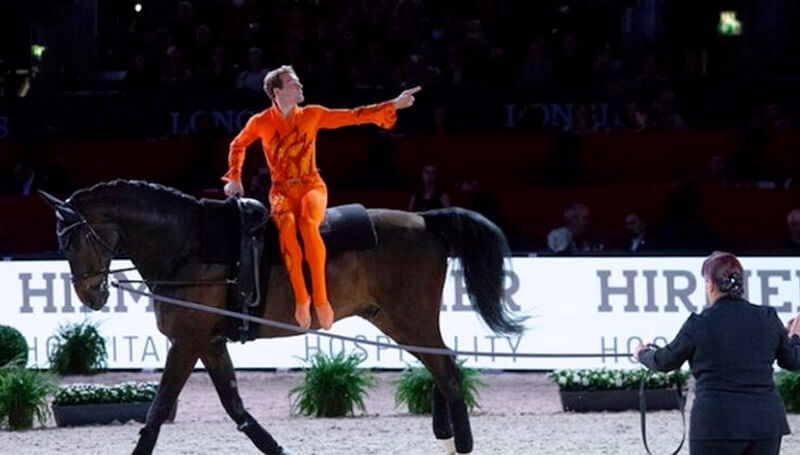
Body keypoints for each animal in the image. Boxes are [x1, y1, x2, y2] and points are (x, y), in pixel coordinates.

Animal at [40, 180, 524, 455]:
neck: (189, 245)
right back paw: (446, 434)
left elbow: (158, 410)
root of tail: (424, 220)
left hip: (408, 317)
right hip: (394, 320)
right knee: (439, 367)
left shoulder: (186, 343)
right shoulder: (209, 344)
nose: (92, 294)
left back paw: (461, 443)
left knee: (447, 370)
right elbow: (235, 408)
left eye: (73, 239)